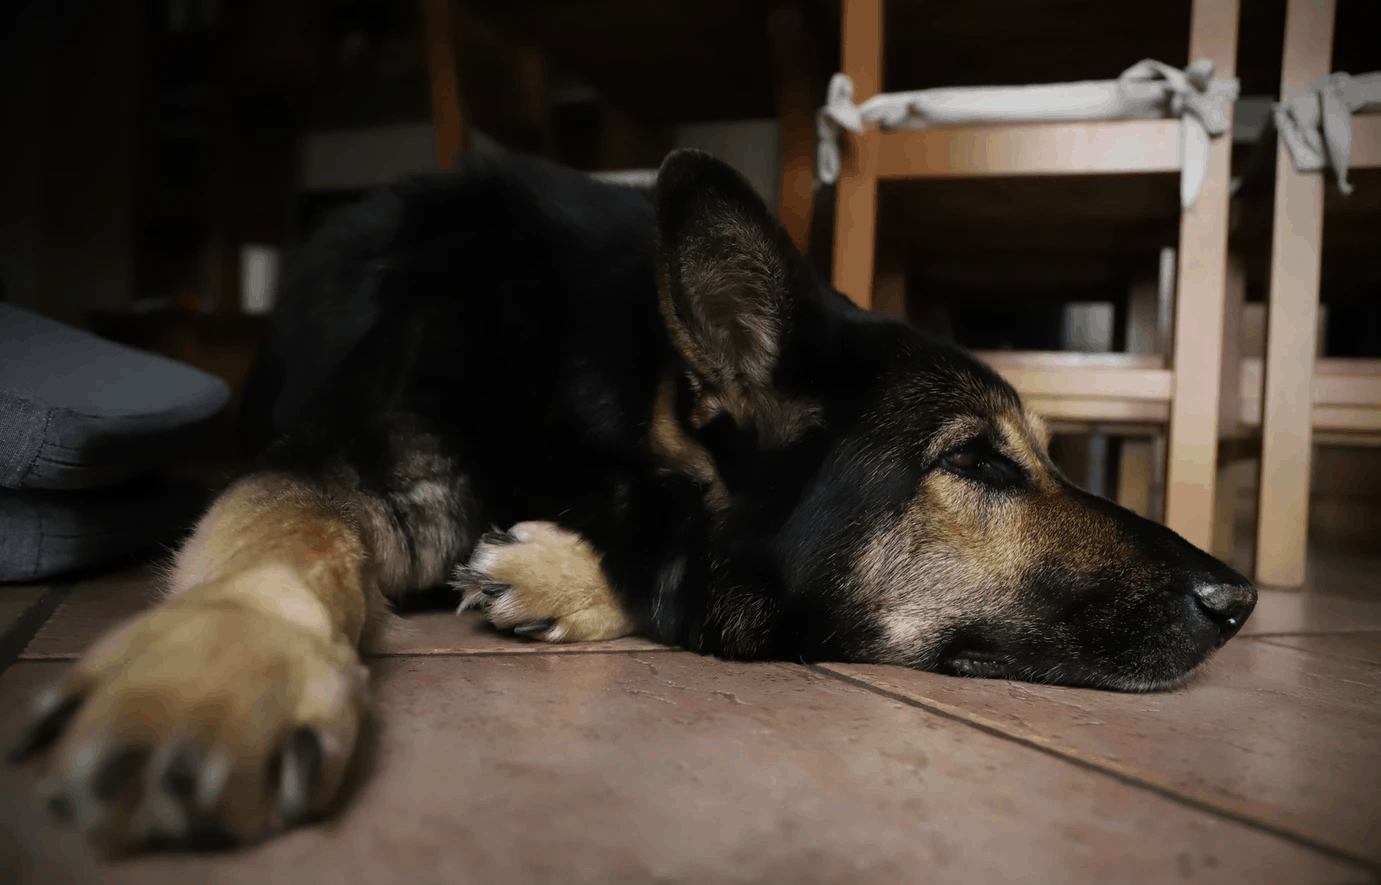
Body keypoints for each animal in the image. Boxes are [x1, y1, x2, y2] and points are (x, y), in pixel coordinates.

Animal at [5, 150, 1259, 850]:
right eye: (981, 464)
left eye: (1037, 456)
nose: (1241, 598)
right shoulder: (331, 461)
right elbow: (286, 530)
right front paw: (214, 667)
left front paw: (551, 573)